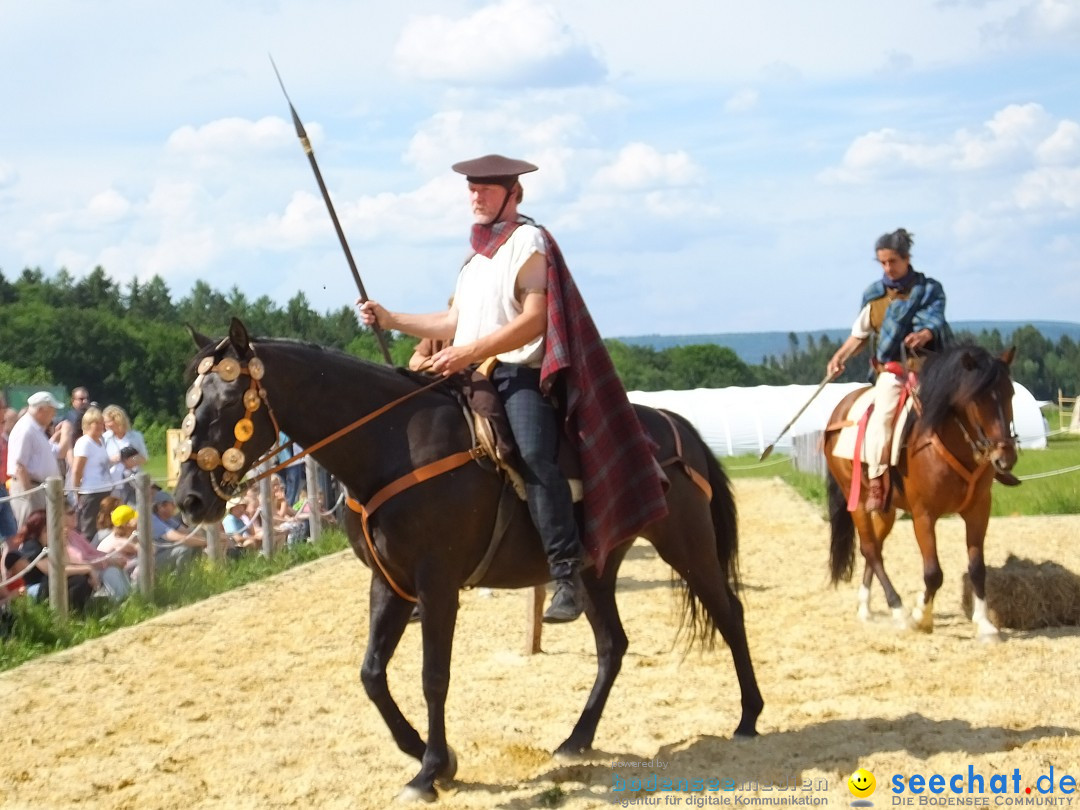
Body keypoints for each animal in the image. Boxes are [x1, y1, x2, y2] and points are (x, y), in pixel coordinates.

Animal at [177, 321, 764, 807]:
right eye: (190, 405)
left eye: (226, 404)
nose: (188, 500)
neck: (389, 446)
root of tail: (673, 424)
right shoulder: (389, 584)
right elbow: (371, 674)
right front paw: (425, 753)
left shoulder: (437, 584)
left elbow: (433, 675)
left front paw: (430, 770)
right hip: (597, 568)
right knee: (612, 645)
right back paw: (576, 740)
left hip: (685, 543)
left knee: (729, 611)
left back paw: (749, 716)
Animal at [820, 345, 1015, 643]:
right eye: (977, 398)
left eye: (1011, 393)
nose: (1005, 458)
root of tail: (837, 412)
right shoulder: (924, 515)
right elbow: (933, 573)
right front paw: (920, 617)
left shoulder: (978, 510)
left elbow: (977, 568)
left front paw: (984, 624)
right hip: (858, 502)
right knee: (870, 549)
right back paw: (898, 609)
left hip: (887, 509)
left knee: (875, 547)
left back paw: (865, 607)